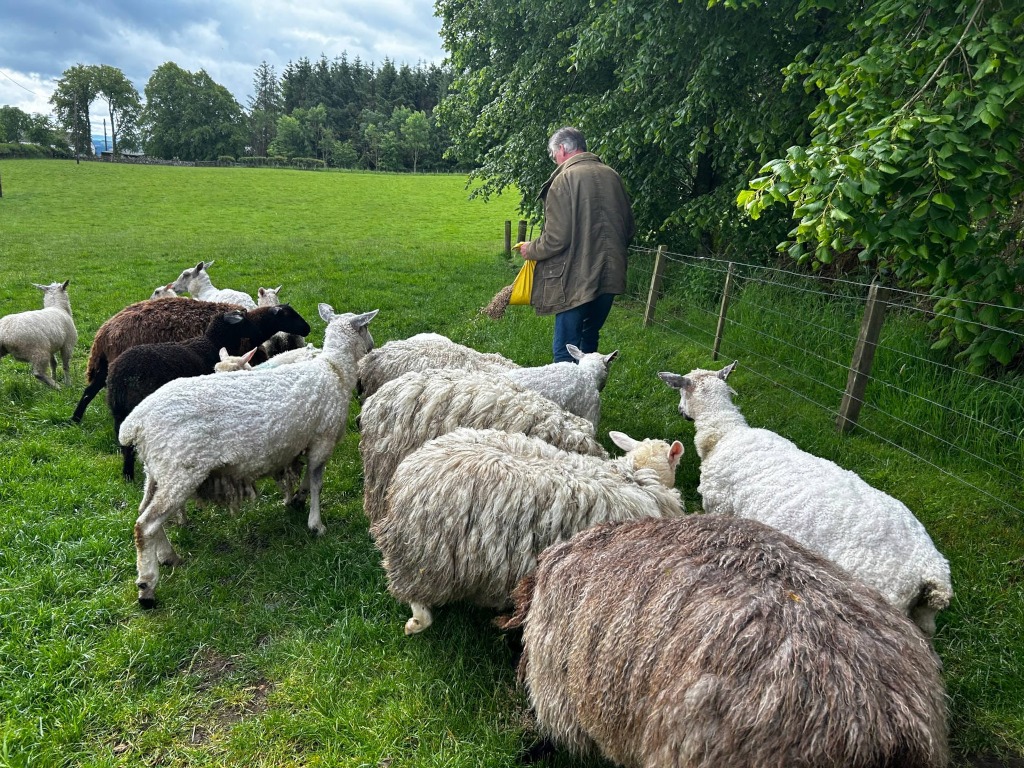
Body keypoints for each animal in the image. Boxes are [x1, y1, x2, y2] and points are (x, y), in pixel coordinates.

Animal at [119, 305, 377, 608]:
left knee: (144, 512)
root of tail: (135, 422)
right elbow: (316, 482)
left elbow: (305, 479)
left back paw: (167, 556)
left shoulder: (306, 440)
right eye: (366, 327)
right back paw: (147, 586)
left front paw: (297, 500)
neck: (334, 369)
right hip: (180, 471)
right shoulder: (323, 438)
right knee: (145, 525)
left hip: (155, 470)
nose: (372, 346)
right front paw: (316, 524)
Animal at [658, 361, 952, 636]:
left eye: (681, 391)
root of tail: (932, 570)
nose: (680, 412)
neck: (724, 433)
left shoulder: (720, 506)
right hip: (922, 619)